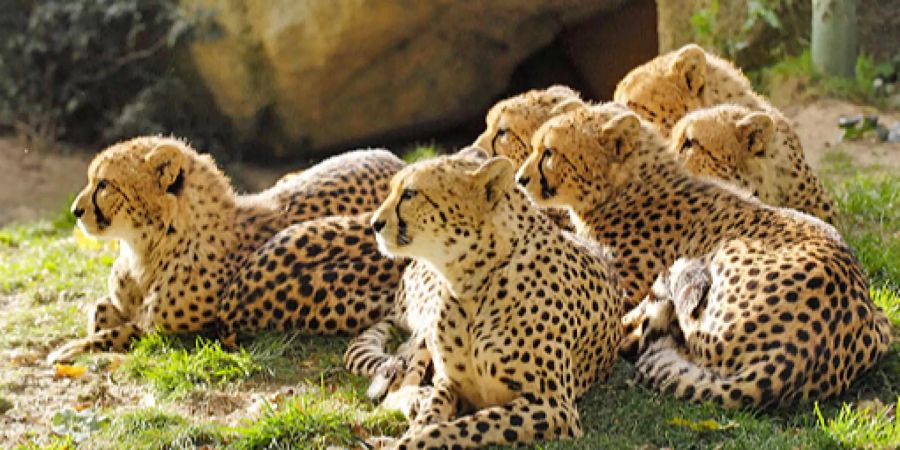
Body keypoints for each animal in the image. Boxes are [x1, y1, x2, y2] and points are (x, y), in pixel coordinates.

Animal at [45, 137, 404, 362]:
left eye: (104, 185)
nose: (75, 211)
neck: (146, 249)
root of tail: (394, 157)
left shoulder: (182, 335)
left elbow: (122, 333)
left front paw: (68, 350)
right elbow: (100, 310)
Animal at [370, 154, 624, 446]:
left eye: (410, 194)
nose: (374, 224)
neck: (474, 282)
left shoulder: (555, 407)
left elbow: (457, 427)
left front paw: (408, 441)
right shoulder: (450, 384)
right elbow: (430, 415)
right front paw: (407, 431)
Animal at [512, 103, 892, 410]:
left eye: (549, 152)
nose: (519, 179)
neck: (626, 186)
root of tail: (794, 355)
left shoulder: (622, 286)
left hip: (726, 251)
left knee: (678, 326)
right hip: (884, 320)